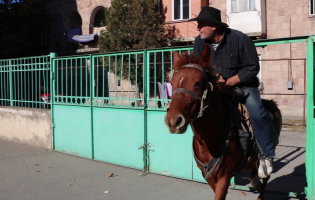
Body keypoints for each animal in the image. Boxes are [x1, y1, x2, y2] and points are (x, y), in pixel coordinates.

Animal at [164, 45, 282, 200]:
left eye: (198, 83)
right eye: (171, 83)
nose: (173, 121)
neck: (211, 137)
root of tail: (271, 104)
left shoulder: (224, 177)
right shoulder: (208, 176)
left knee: (266, 177)